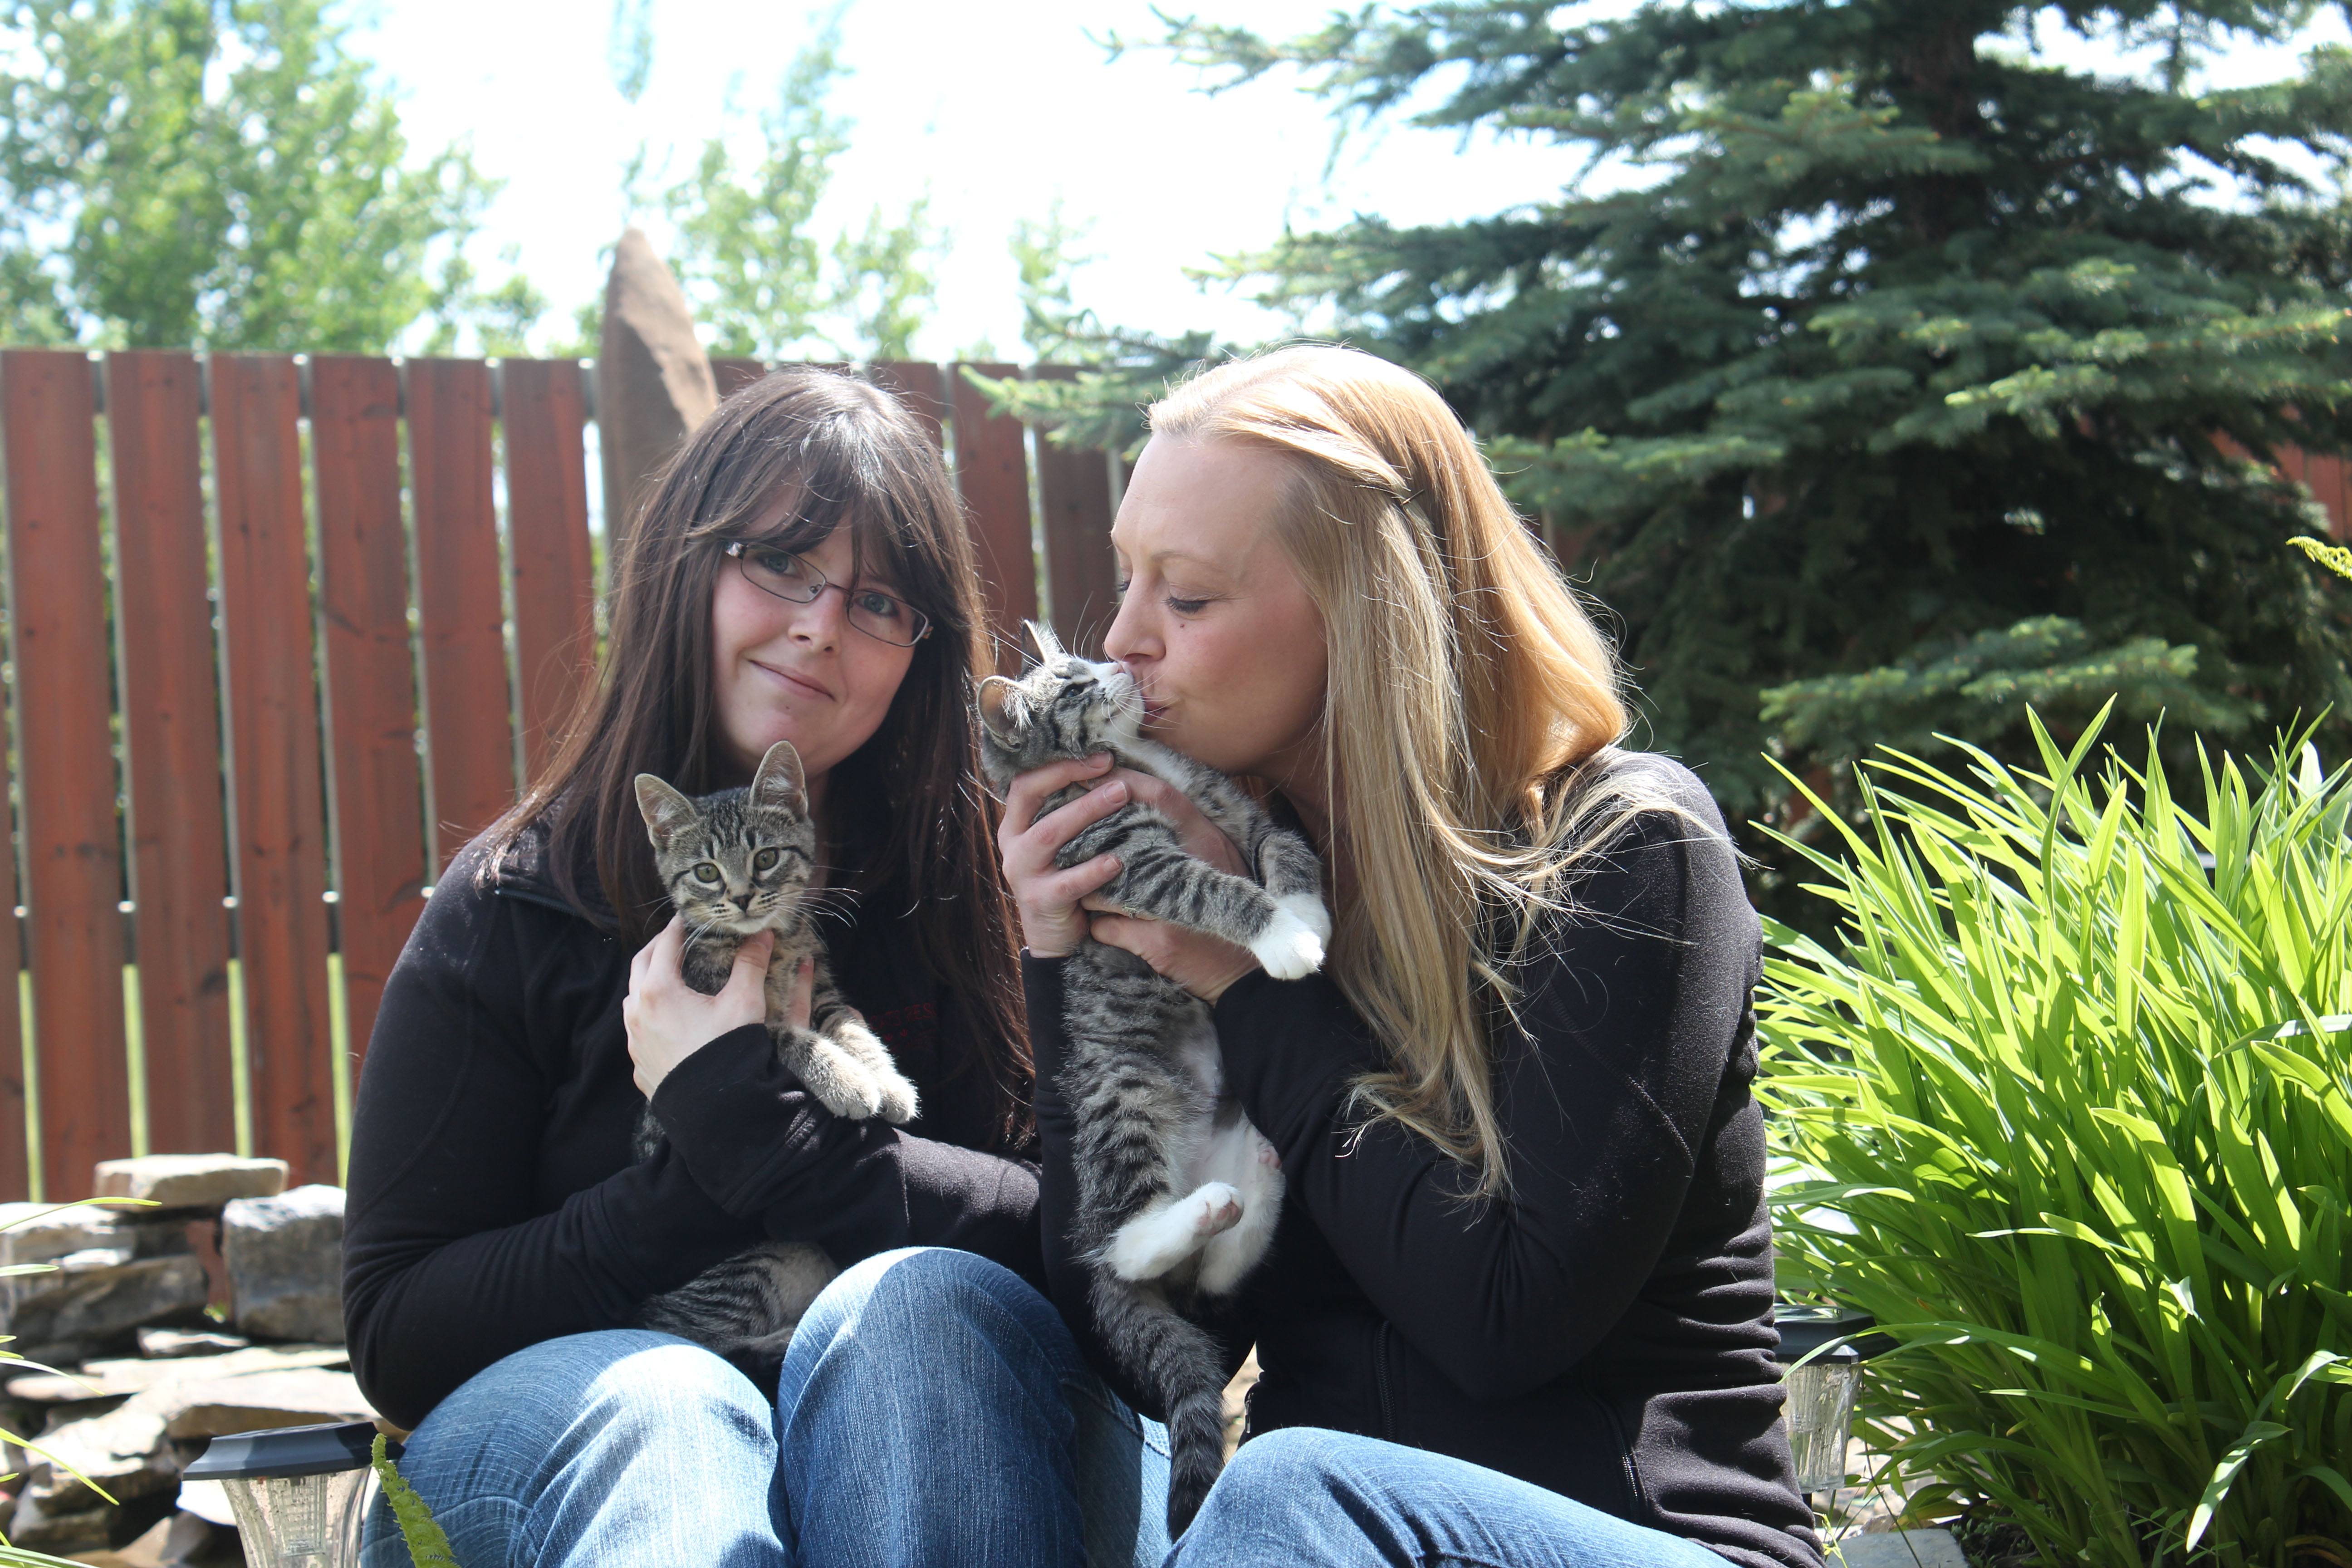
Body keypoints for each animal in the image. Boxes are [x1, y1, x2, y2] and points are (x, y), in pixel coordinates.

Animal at [625, 743, 917, 1382]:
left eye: (766, 857)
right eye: (706, 871)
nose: (739, 897)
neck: (771, 944)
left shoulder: (824, 985)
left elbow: (853, 1026)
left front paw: (887, 1082)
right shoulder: (732, 1019)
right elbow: (793, 1040)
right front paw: (849, 1083)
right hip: (755, 1263)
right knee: (699, 1341)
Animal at [974, 620, 1336, 1533]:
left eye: (1088, 665)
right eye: (1074, 685)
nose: (1122, 667)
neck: (1130, 757)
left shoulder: (1227, 802)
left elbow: (1281, 843)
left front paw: (1304, 913)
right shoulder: (1120, 862)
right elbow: (1210, 887)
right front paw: (1281, 936)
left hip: (1232, 1147)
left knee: (1211, 1282)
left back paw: (1243, 1196)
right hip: (1124, 1092)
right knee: (1124, 1249)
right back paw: (1168, 1223)